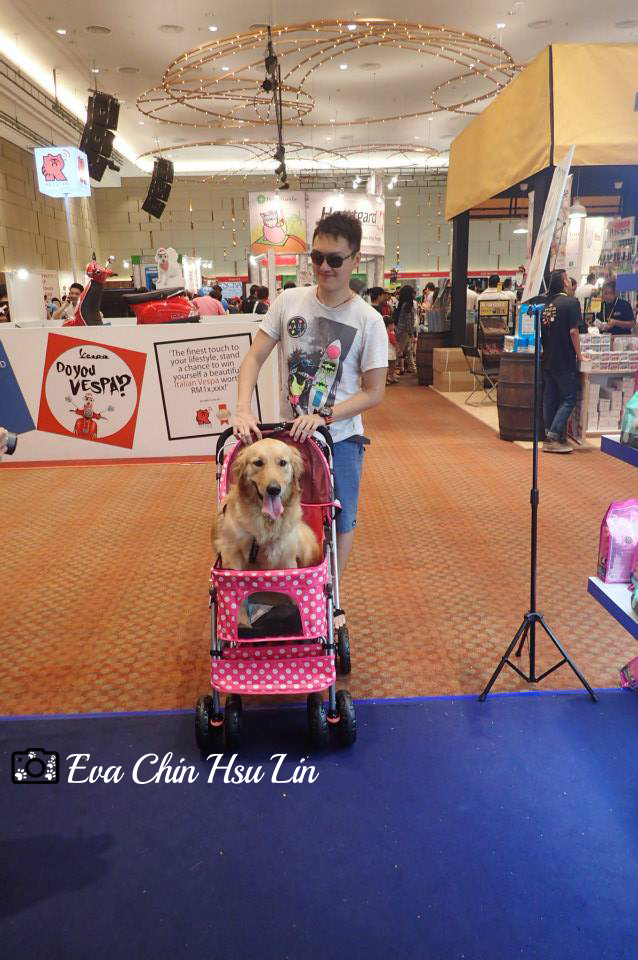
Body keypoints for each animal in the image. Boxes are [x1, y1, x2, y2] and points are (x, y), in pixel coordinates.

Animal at [212, 437, 321, 570]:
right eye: (258, 463)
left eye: (282, 462)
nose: (274, 489)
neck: (267, 519)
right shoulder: (231, 553)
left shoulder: (287, 556)